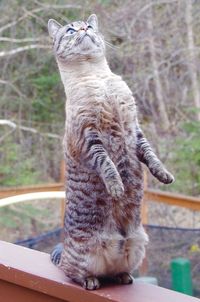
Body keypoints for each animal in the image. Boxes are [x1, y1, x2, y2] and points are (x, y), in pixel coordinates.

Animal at [47, 13, 174, 290]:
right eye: (70, 30)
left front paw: (165, 175)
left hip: (138, 245)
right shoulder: (90, 138)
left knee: (117, 271)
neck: (97, 77)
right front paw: (117, 188)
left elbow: (152, 156)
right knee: (74, 273)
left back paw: (123, 276)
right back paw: (91, 281)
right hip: (83, 258)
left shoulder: (135, 130)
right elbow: (108, 165)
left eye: (89, 26)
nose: (83, 29)